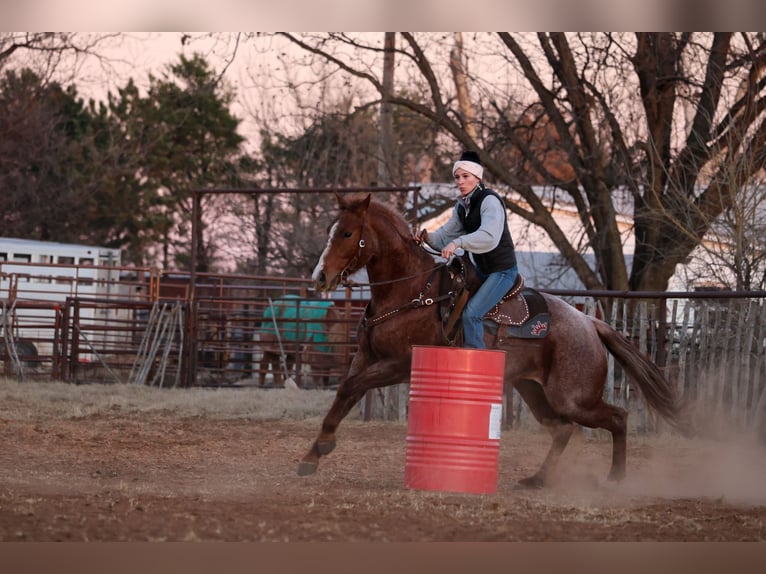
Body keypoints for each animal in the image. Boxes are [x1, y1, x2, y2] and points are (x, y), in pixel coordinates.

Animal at [299, 192, 687, 488]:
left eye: (347, 233)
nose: (320, 277)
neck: (411, 290)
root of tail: (590, 323)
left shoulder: (399, 363)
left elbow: (351, 388)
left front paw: (321, 448)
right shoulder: (364, 357)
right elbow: (344, 394)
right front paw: (313, 454)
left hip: (573, 397)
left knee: (617, 417)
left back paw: (616, 477)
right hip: (534, 390)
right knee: (563, 430)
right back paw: (538, 479)